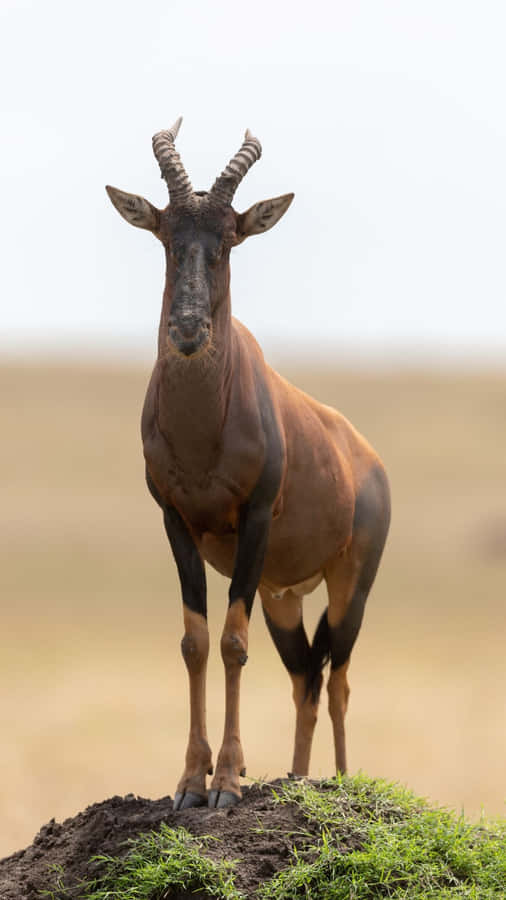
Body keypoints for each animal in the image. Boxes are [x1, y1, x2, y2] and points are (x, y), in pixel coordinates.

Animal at [106, 119, 390, 811]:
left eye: (230, 238)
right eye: (165, 235)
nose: (187, 332)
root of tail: (367, 460)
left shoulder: (255, 519)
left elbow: (234, 643)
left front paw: (229, 783)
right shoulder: (176, 521)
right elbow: (195, 641)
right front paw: (190, 782)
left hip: (351, 584)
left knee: (338, 678)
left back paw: (339, 781)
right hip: (281, 595)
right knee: (305, 678)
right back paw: (295, 779)